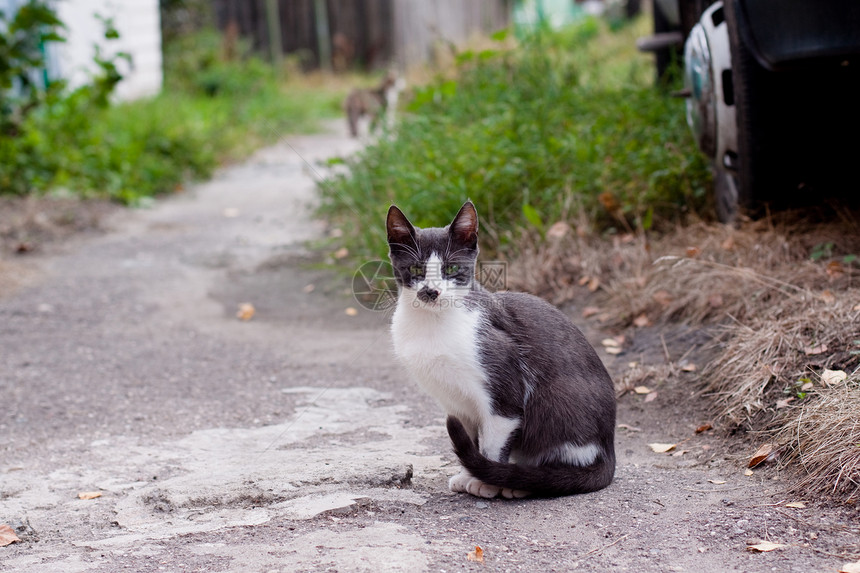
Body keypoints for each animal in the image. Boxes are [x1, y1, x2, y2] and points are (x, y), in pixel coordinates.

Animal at [386, 200, 616, 496]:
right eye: (415, 270)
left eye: (451, 269)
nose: (431, 292)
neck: (432, 324)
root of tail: (608, 449)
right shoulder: (457, 404)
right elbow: (469, 439)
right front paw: (468, 475)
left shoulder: (504, 393)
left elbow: (493, 444)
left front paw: (486, 482)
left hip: (559, 402)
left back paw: (525, 483)